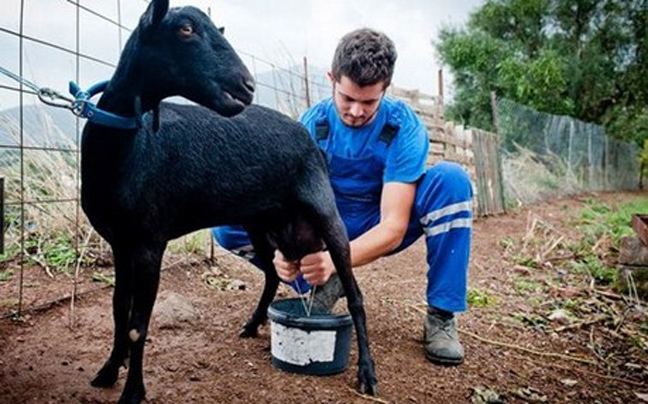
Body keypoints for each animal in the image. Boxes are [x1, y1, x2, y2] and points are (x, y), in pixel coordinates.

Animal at [81, 1, 378, 402]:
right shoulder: (120, 242)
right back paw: (252, 324)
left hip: (325, 213)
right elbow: (117, 311)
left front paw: (133, 392)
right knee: (272, 274)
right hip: (260, 223)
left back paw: (367, 373)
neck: (127, 150)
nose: (247, 86)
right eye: (185, 29)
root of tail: (306, 136)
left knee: (355, 294)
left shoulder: (149, 243)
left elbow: (137, 325)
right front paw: (109, 370)